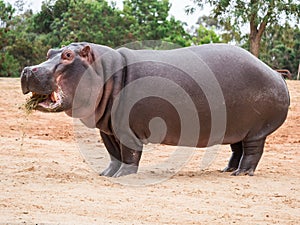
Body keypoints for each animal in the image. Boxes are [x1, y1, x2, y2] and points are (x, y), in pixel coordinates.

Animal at [19, 41, 290, 176]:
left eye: (67, 55)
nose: (28, 70)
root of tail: (274, 72)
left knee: (252, 152)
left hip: (256, 131)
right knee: (237, 149)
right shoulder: (107, 129)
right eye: (50, 51)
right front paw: (106, 174)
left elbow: (129, 154)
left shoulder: (126, 129)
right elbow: (113, 154)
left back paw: (242, 174)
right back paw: (227, 169)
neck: (106, 72)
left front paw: (124, 176)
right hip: (237, 127)